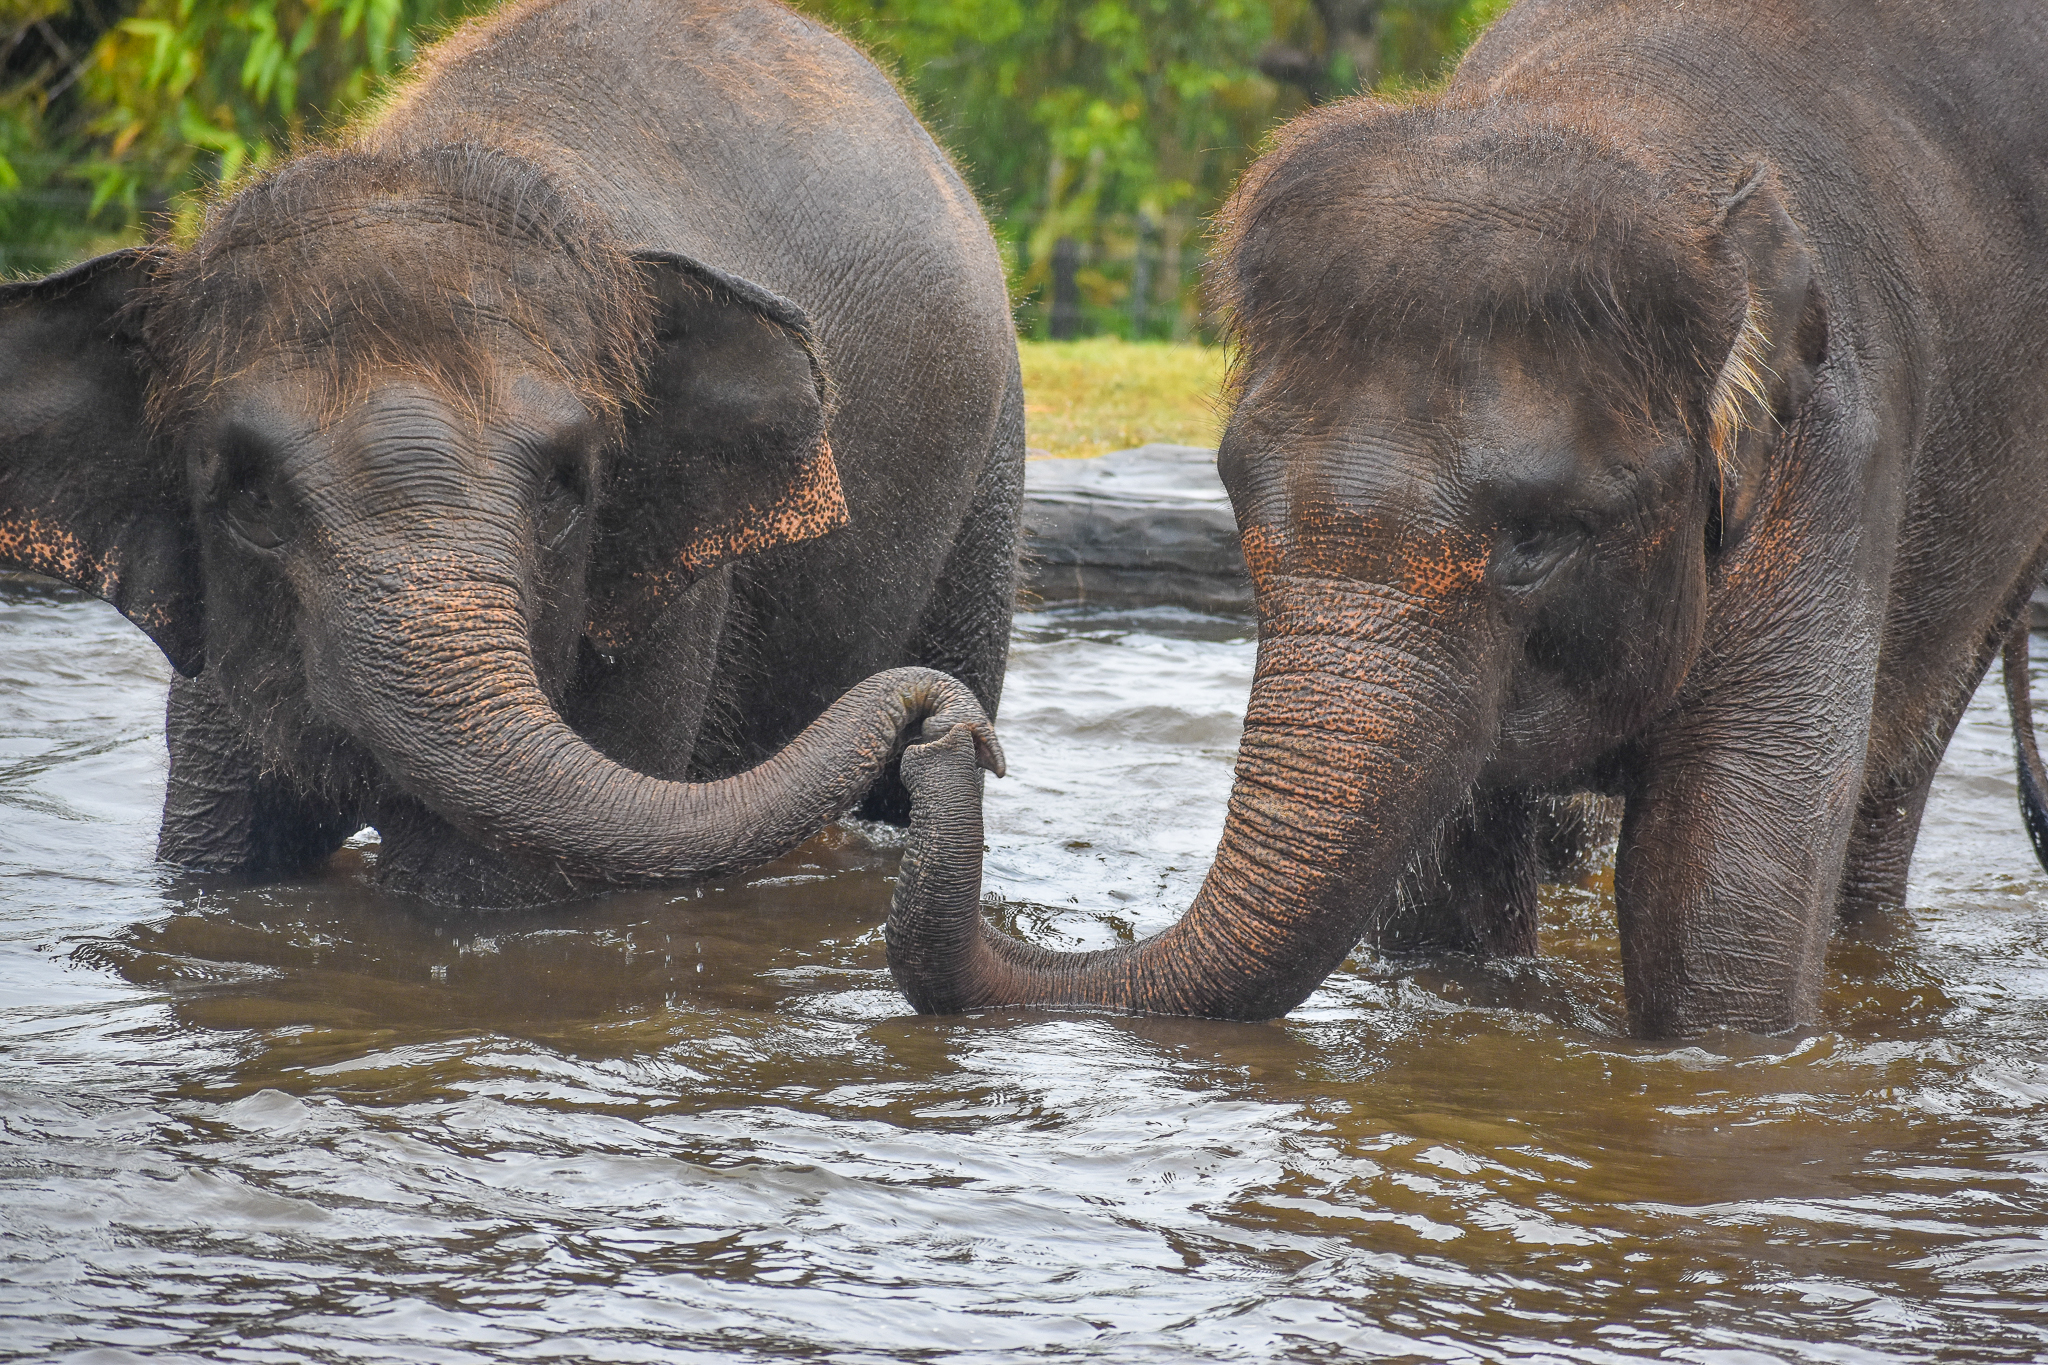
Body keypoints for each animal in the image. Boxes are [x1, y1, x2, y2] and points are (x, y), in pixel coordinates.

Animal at [0, 0, 1015, 907]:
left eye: (567, 489)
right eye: (249, 499)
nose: (951, 731)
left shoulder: (668, 596)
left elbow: (485, 880)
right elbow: (221, 848)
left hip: (990, 464)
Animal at [884, 0, 2048, 1036]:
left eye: (1541, 538)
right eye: (1236, 500)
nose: (950, 732)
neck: (1604, 114)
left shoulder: (1828, 469)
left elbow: (1720, 919)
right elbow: (1451, 903)